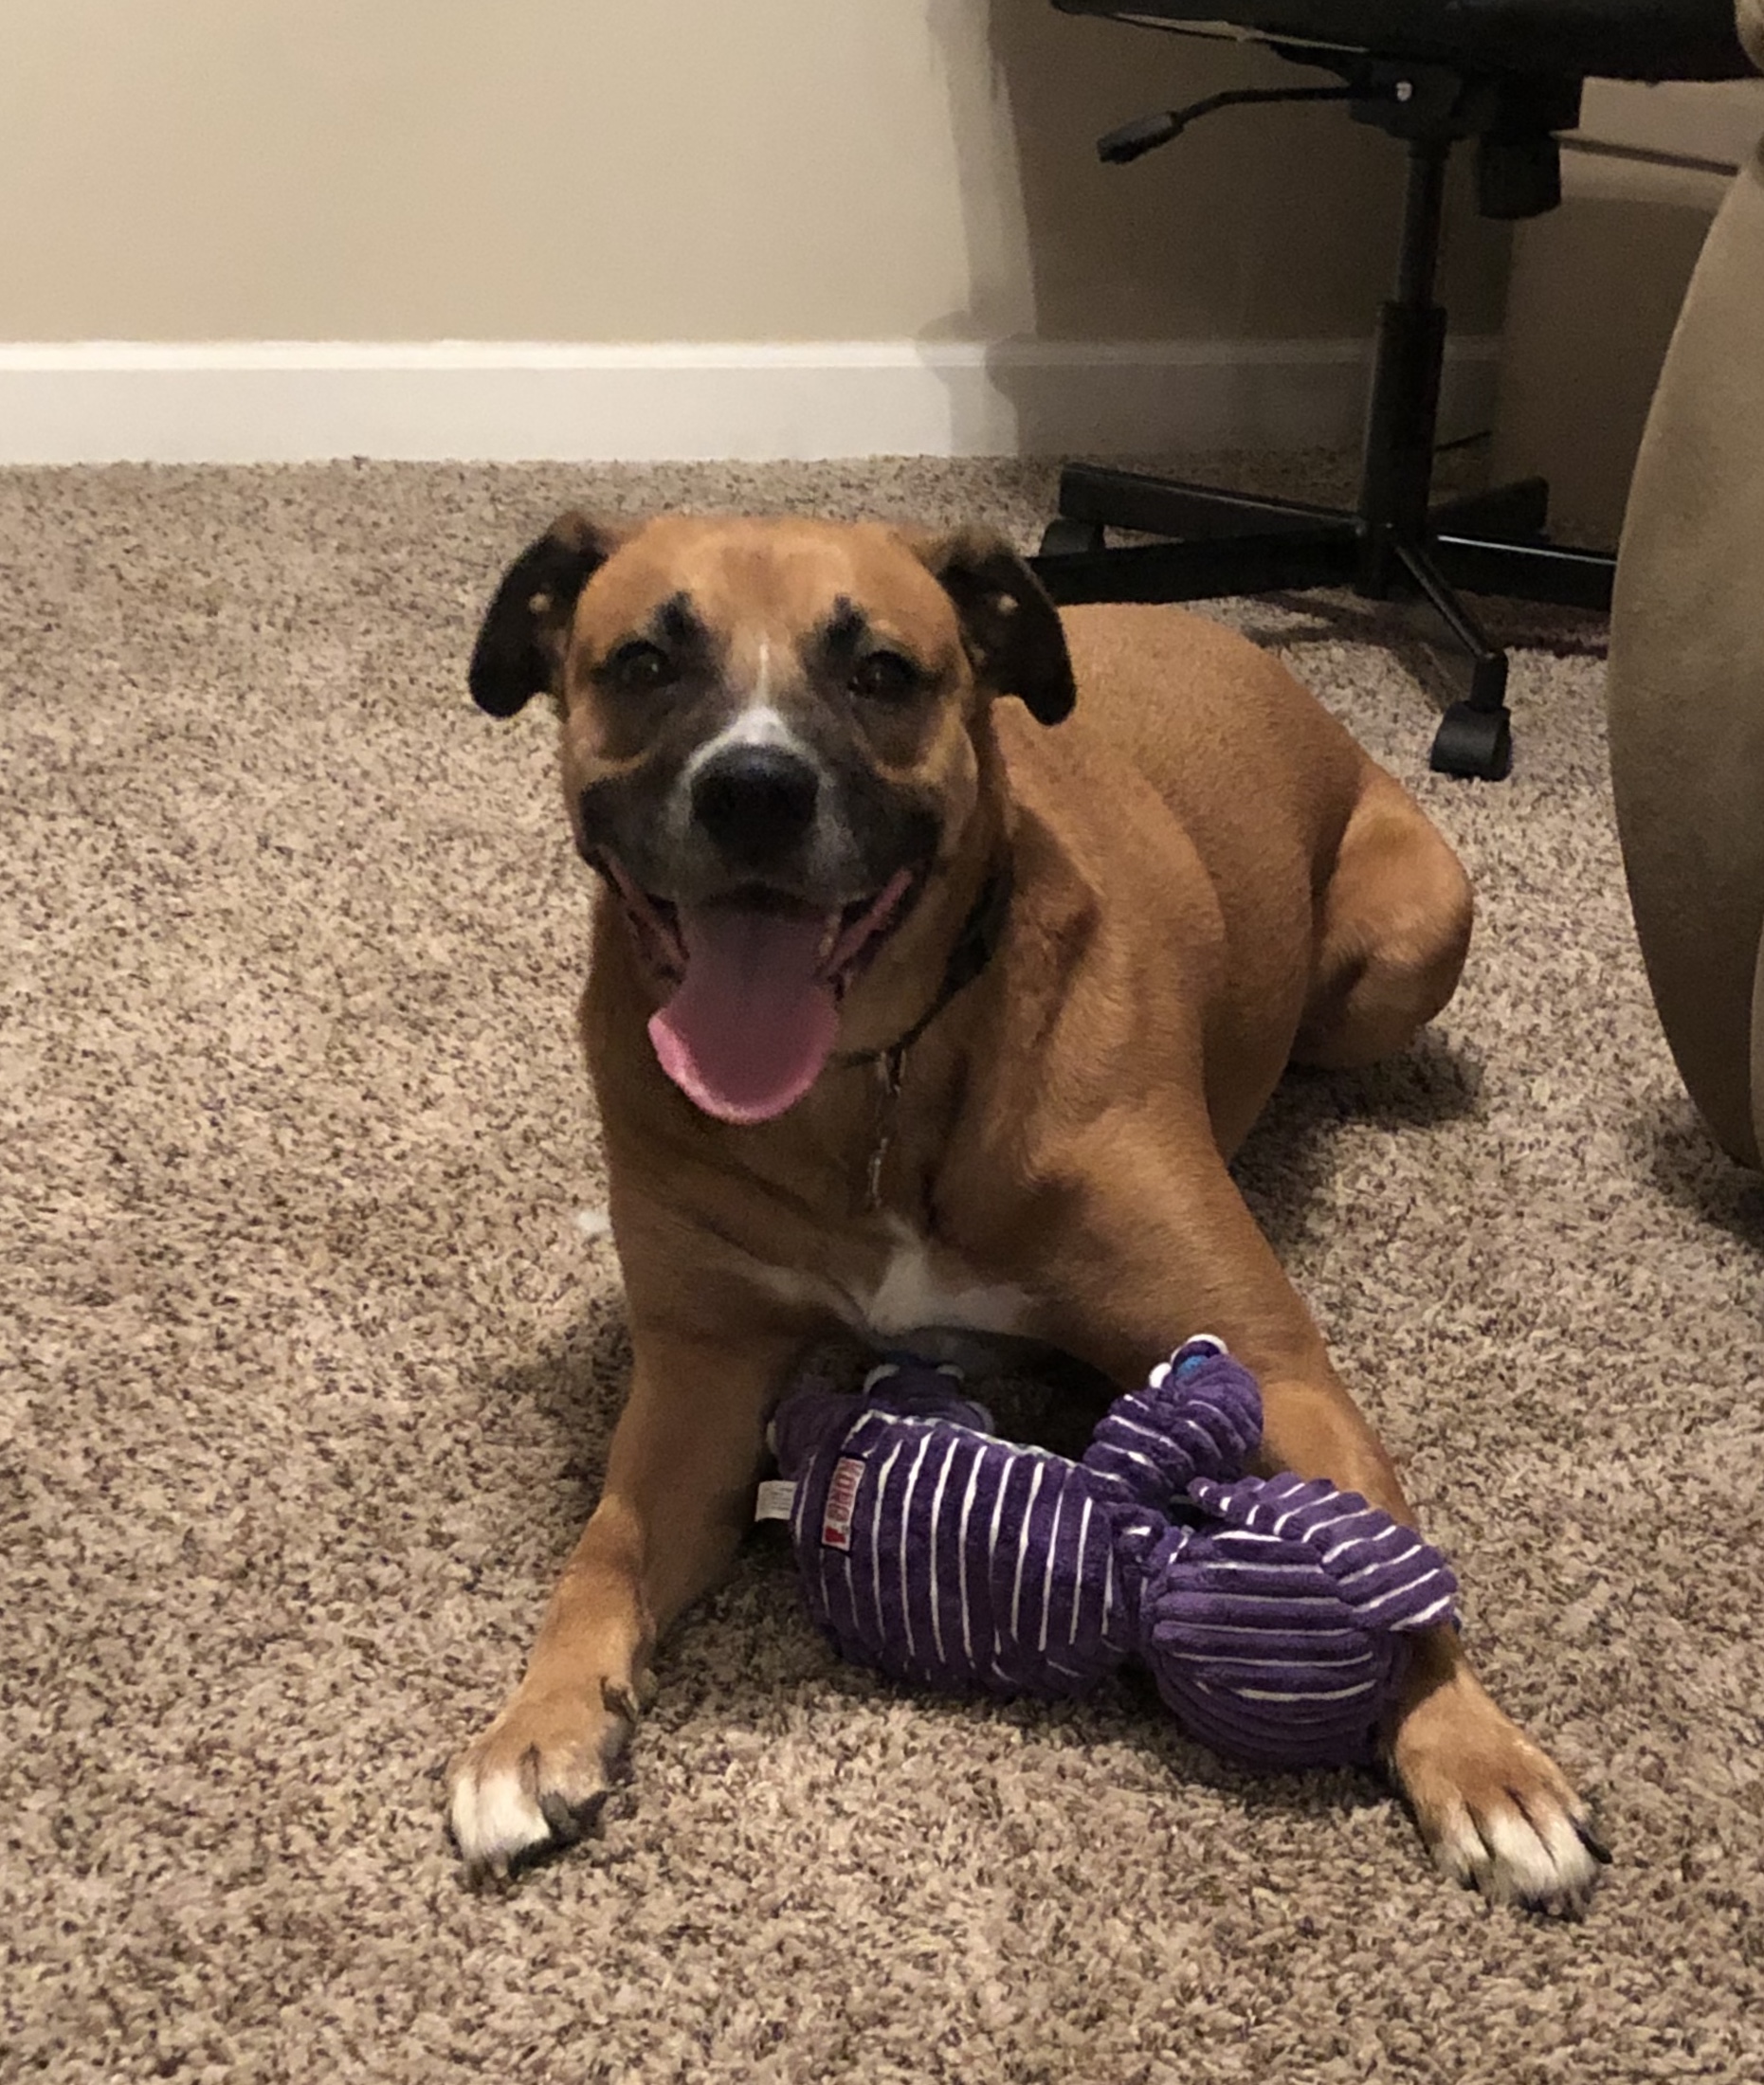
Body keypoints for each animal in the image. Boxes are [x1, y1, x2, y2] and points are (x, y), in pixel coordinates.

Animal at [447, 513, 1609, 1910]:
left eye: (880, 673)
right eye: (642, 662)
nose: (754, 792)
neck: (874, 1080)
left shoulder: (1273, 1366)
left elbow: (1387, 1570)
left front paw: (1478, 1758)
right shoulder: (702, 1380)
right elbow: (602, 1554)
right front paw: (534, 1726)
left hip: (1407, 946)